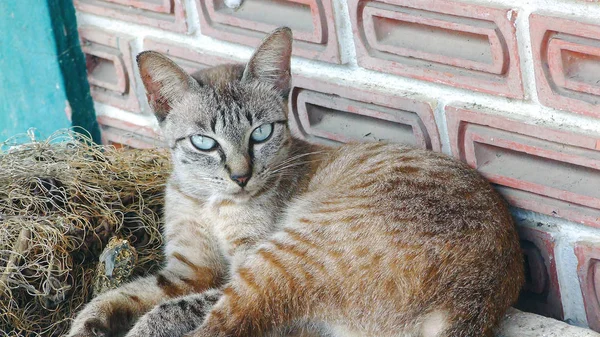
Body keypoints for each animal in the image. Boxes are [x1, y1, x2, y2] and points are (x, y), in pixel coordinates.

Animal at [68, 26, 524, 336]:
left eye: (261, 134)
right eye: (204, 142)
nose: (241, 176)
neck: (208, 200)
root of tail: (477, 298)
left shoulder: (235, 267)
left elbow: (167, 310)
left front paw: (137, 326)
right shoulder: (186, 270)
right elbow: (125, 294)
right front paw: (88, 324)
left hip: (282, 256)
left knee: (223, 326)